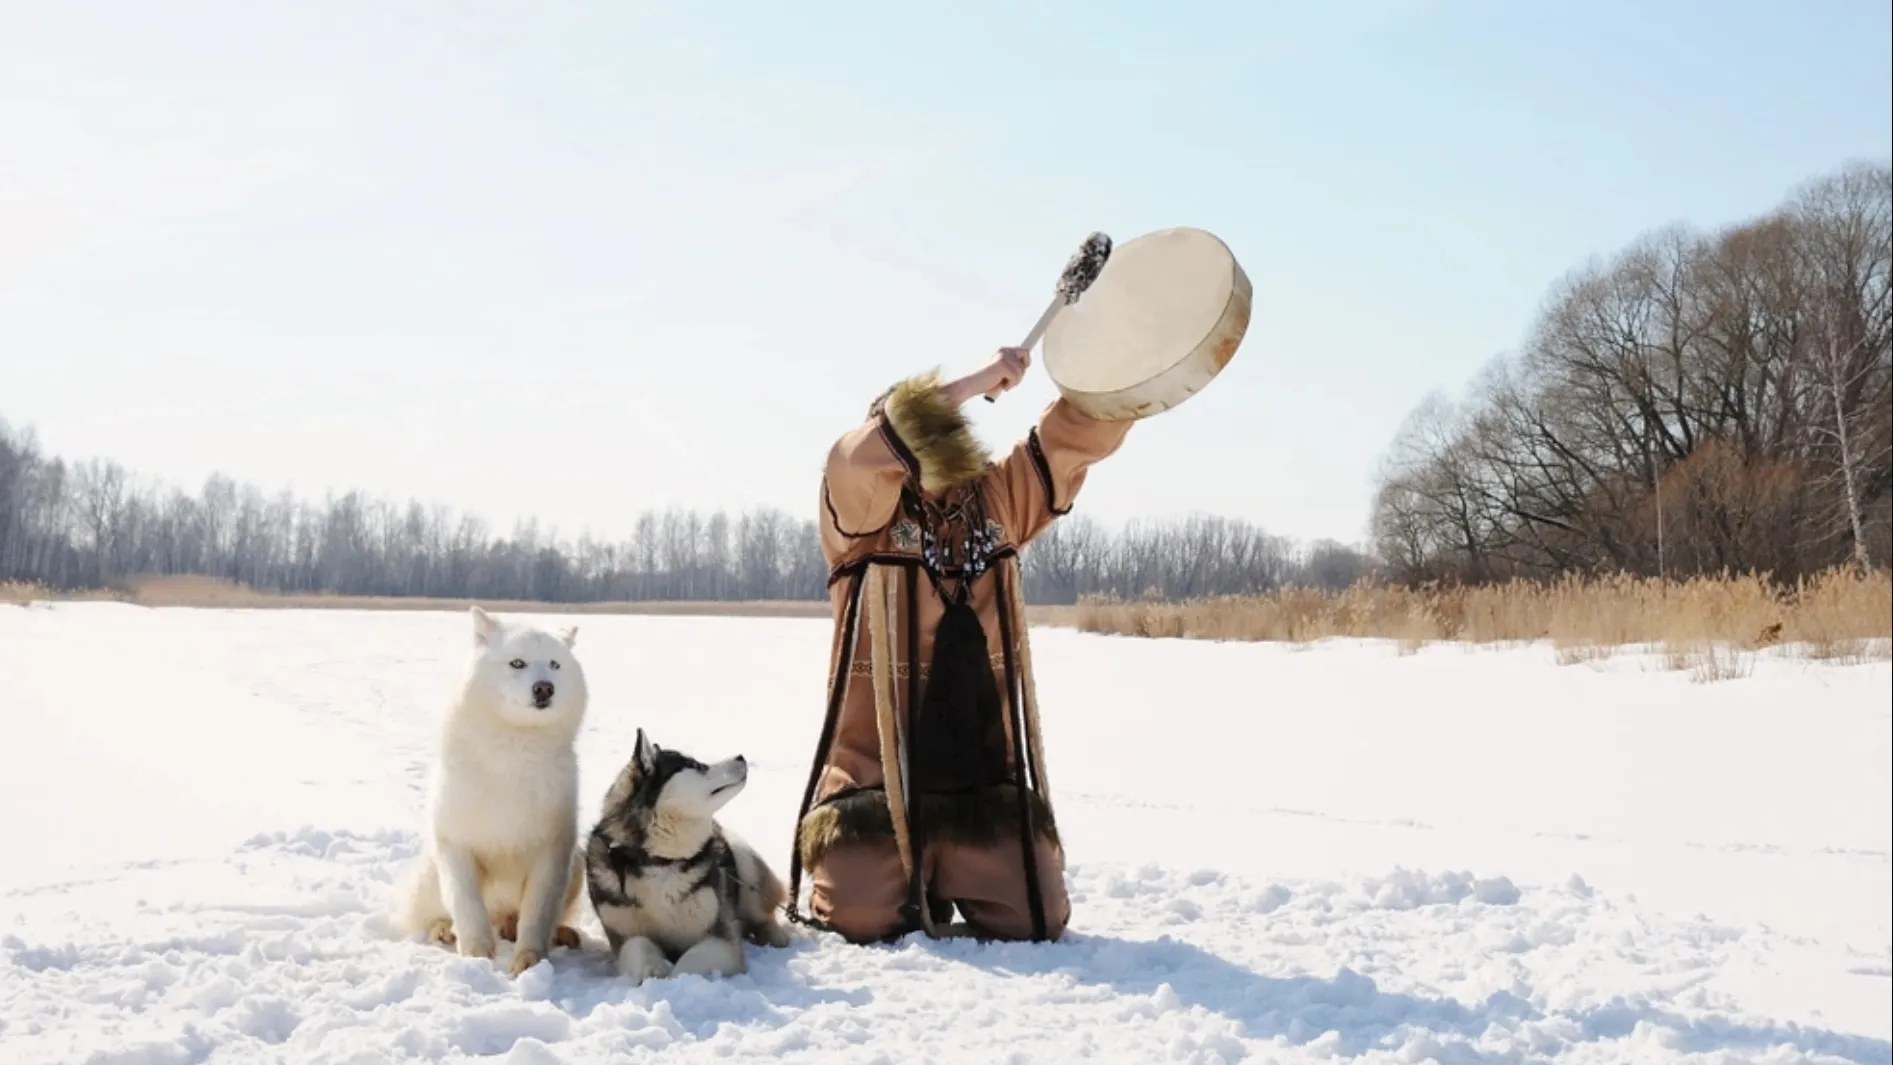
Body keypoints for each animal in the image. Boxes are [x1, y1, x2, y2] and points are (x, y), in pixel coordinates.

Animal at [401, 609, 598, 976]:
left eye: (555, 664)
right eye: (517, 663)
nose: (544, 688)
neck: (516, 747)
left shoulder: (553, 849)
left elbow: (538, 911)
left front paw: (527, 962)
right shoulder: (456, 840)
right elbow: (466, 903)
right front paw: (476, 956)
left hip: (578, 863)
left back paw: (559, 933)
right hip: (430, 871)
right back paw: (443, 929)